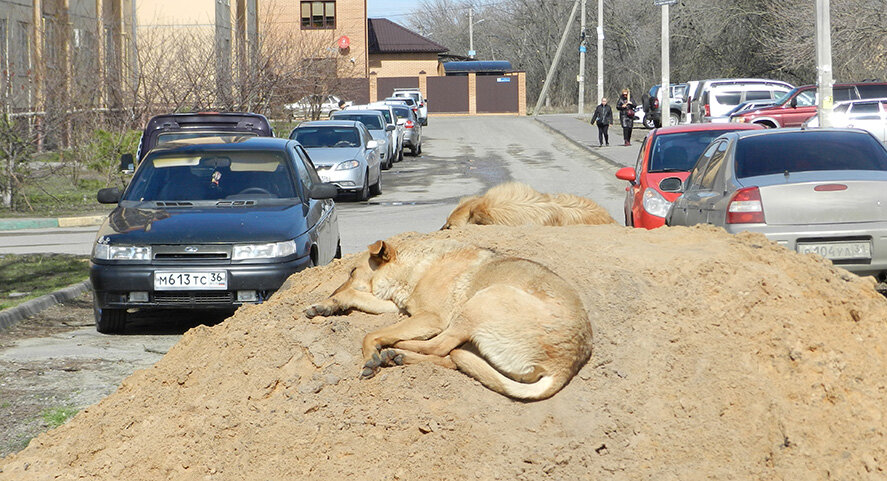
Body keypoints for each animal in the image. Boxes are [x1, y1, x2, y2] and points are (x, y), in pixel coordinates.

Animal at [302, 237, 592, 402]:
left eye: (352, 271)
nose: (330, 292)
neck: (420, 265)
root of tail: (566, 365)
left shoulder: (430, 317)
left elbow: (371, 334)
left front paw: (370, 356)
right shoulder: (396, 305)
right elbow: (352, 296)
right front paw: (326, 304)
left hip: (484, 301)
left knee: (440, 347)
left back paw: (396, 350)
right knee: (452, 358)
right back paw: (398, 356)